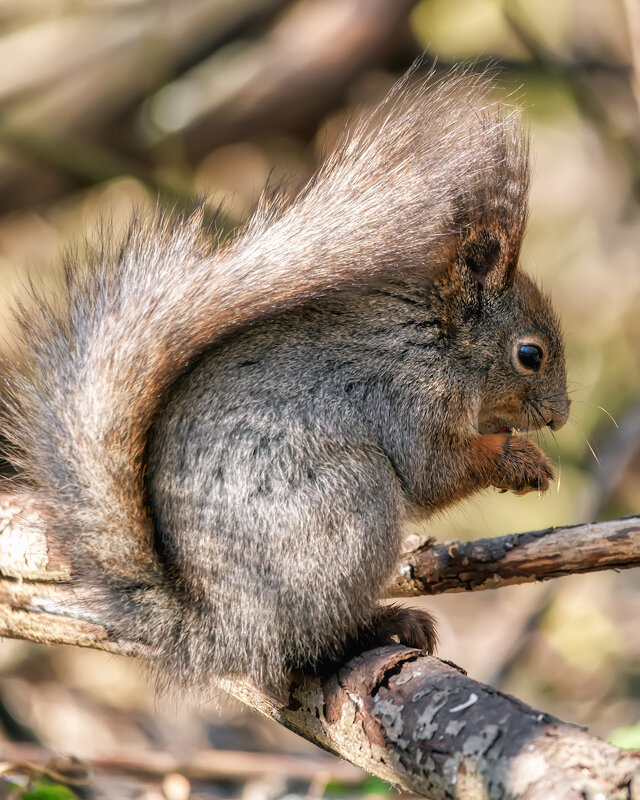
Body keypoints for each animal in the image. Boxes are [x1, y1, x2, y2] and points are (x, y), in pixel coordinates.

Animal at [0, 72, 568, 692]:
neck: (434, 340)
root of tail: (221, 630)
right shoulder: (408, 398)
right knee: (311, 642)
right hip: (350, 505)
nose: (562, 415)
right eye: (530, 354)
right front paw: (521, 459)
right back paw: (382, 623)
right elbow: (435, 471)